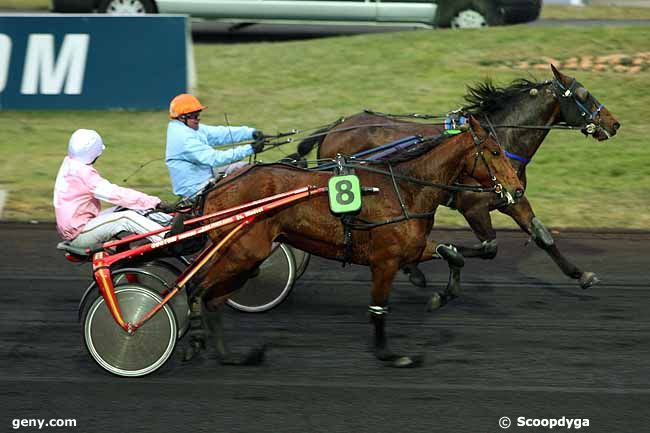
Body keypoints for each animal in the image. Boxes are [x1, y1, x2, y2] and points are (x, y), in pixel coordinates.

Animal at [186, 116, 520, 366]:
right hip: (243, 252)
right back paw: (195, 337)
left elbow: (452, 254)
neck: (404, 189)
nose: (516, 188)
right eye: (494, 152)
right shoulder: (385, 261)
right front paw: (389, 355)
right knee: (197, 288)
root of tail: (214, 187)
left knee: (212, 298)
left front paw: (441, 296)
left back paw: (230, 356)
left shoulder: (410, 248)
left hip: (243, 257)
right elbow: (378, 307)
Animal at [288, 64, 616, 294]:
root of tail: (335, 127)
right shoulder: (473, 206)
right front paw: (426, 263)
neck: (500, 140)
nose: (614, 123)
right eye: (584, 95)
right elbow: (489, 247)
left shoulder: (512, 199)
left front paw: (581, 274)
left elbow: (542, 235)